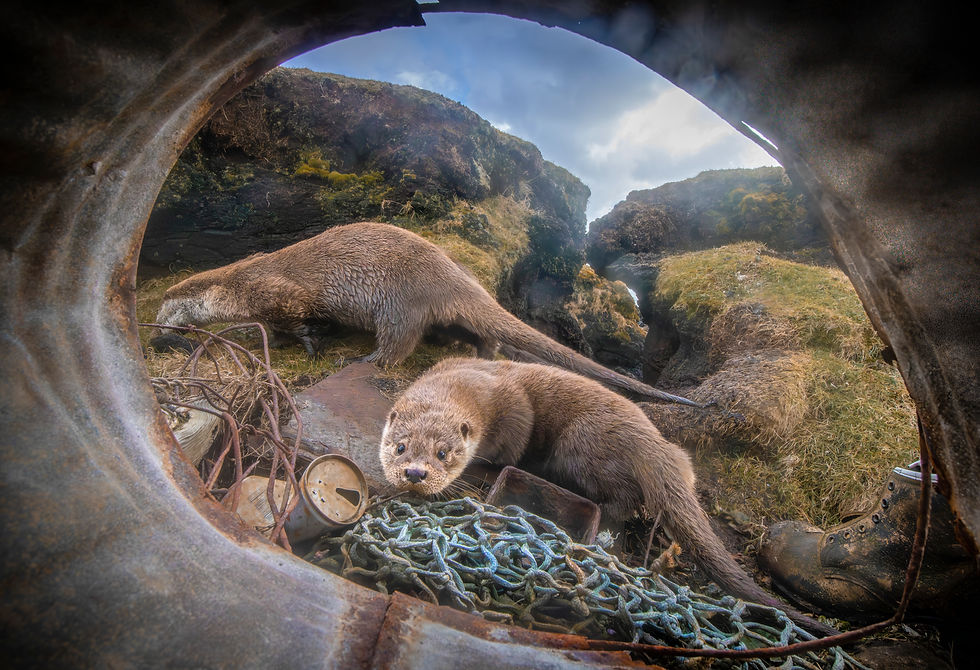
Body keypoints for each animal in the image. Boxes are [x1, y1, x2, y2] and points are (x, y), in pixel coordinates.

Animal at [153, 221, 701, 407]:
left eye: (164, 310)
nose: (158, 337)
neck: (239, 284)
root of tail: (452, 275)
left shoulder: (278, 294)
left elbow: (297, 321)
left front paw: (308, 343)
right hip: (445, 312)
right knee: (476, 334)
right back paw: (483, 354)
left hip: (399, 303)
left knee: (400, 343)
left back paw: (365, 361)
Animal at [379, 357, 837, 637]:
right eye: (400, 448)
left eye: (444, 453)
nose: (415, 473)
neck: (474, 382)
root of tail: (649, 439)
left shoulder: (515, 412)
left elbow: (511, 446)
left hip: (581, 444)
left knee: (624, 498)